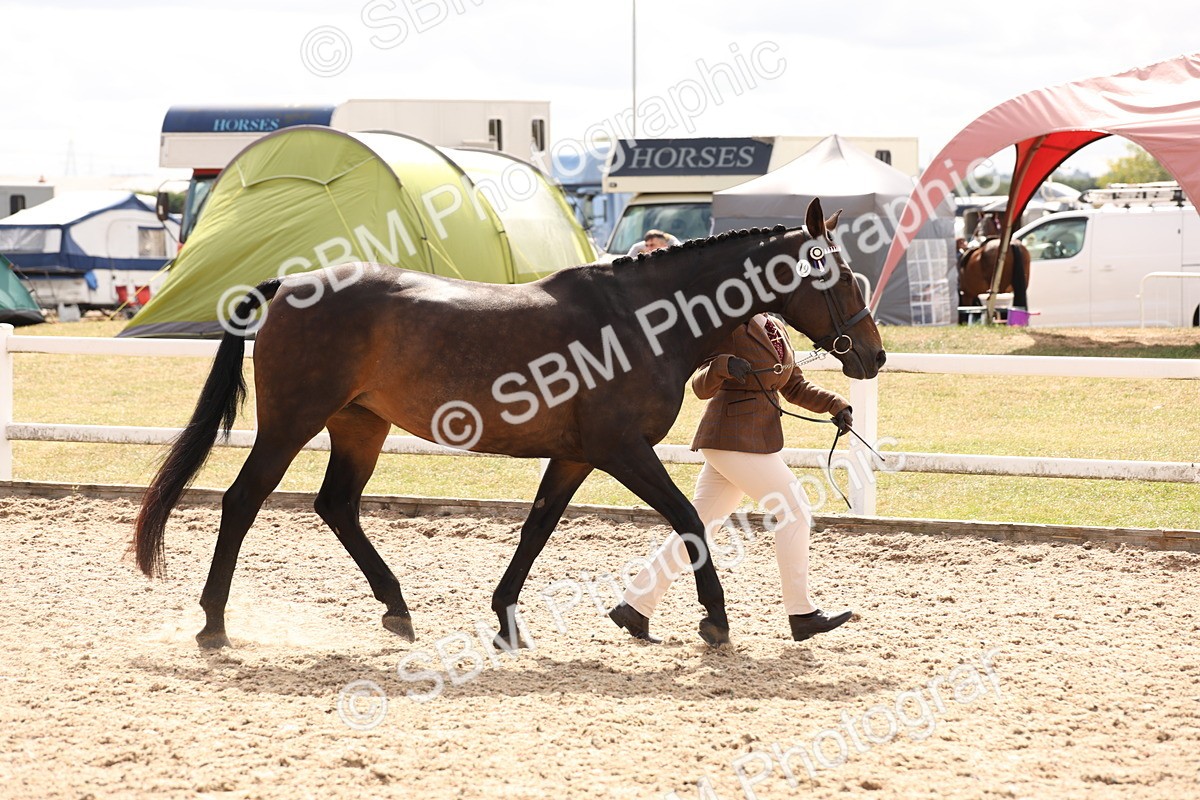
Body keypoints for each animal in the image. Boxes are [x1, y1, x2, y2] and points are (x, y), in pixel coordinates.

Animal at [132, 197, 886, 650]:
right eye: (840, 278)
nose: (874, 355)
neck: (640, 319)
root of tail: (287, 285)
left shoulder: (578, 455)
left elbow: (536, 528)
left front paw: (507, 620)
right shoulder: (622, 449)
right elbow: (689, 522)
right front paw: (715, 620)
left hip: (359, 426)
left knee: (337, 505)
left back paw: (397, 610)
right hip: (292, 423)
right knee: (242, 501)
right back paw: (213, 624)